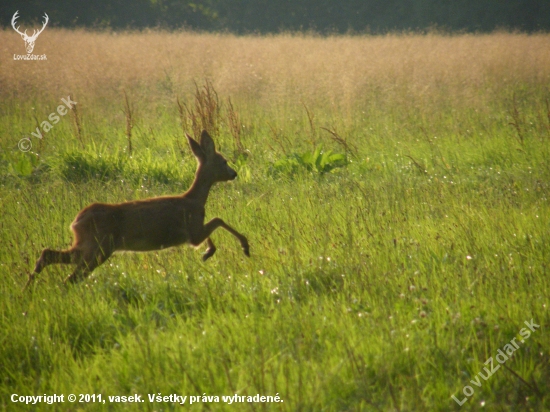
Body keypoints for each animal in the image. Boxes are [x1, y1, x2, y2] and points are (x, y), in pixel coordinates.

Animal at [24, 130, 251, 292]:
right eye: (224, 161)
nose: (234, 173)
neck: (195, 199)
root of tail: (76, 222)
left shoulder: (195, 230)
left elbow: (213, 225)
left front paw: (208, 252)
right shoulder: (193, 230)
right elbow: (218, 219)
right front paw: (244, 246)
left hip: (88, 245)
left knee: (48, 255)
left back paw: (28, 288)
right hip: (100, 247)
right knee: (70, 277)